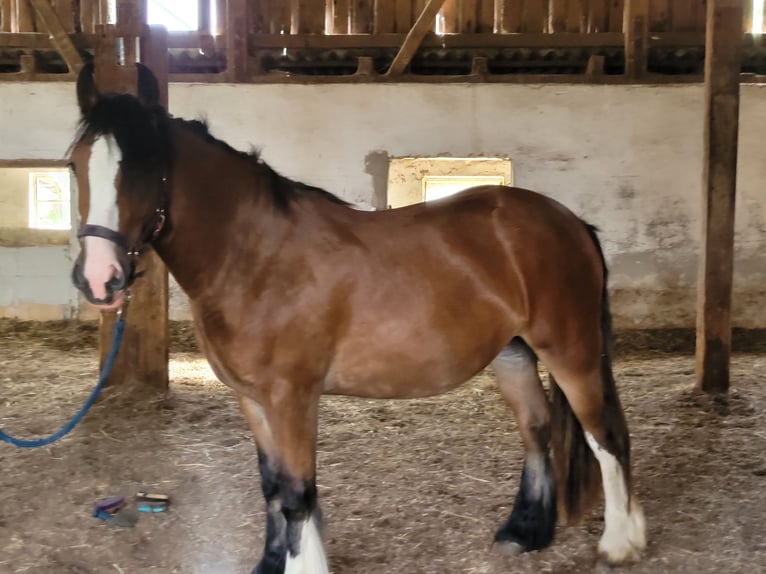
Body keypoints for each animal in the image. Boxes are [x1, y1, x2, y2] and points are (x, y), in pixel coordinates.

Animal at [67, 63, 648, 574]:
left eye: (144, 167)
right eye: (75, 164)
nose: (100, 279)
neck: (255, 255)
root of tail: (570, 221)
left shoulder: (292, 398)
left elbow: (297, 492)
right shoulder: (251, 398)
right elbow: (271, 486)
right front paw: (271, 562)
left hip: (570, 351)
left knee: (605, 436)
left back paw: (620, 543)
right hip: (514, 354)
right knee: (537, 429)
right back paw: (525, 532)